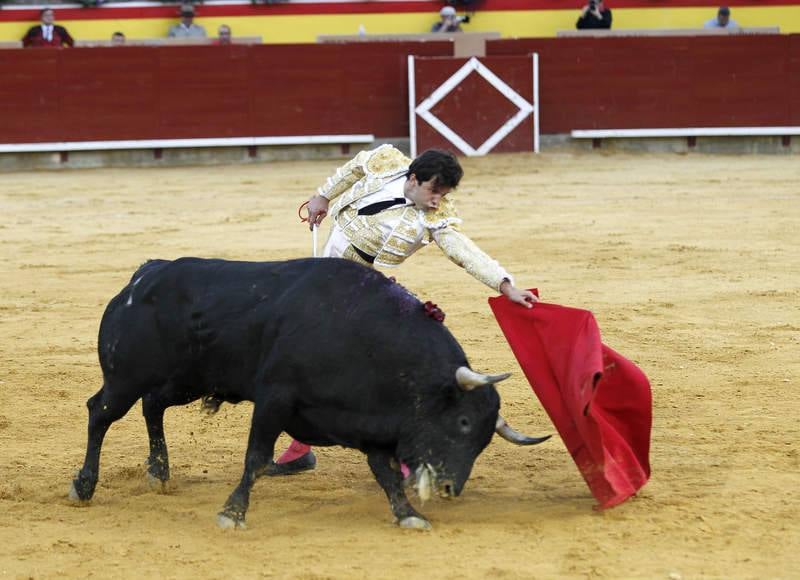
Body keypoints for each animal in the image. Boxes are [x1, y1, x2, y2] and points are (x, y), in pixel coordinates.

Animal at [70, 256, 552, 528]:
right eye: (464, 421)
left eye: (485, 439)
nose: (452, 488)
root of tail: (143, 276)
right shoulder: (274, 399)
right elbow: (256, 458)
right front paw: (232, 513)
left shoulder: (372, 421)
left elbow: (384, 473)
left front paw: (409, 514)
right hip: (126, 377)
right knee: (100, 413)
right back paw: (84, 485)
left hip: (185, 381)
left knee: (153, 406)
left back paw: (159, 472)